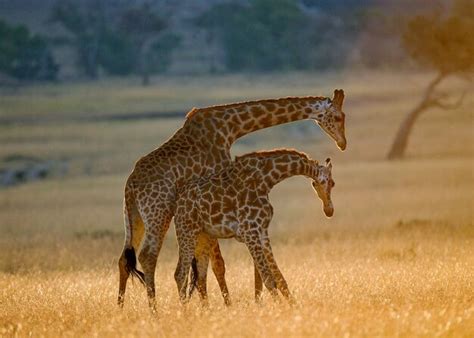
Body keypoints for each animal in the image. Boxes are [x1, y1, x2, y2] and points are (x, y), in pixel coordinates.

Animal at [173, 151, 334, 304]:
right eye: (331, 183)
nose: (329, 211)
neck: (266, 181)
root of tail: (178, 201)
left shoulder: (262, 232)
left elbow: (279, 278)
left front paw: (293, 306)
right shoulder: (249, 232)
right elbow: (268, 279)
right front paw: (280, 308)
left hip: (203, 236)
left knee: (200, 277)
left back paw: (207, 311)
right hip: (186, 232)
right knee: (180, 274)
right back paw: (185, 311)